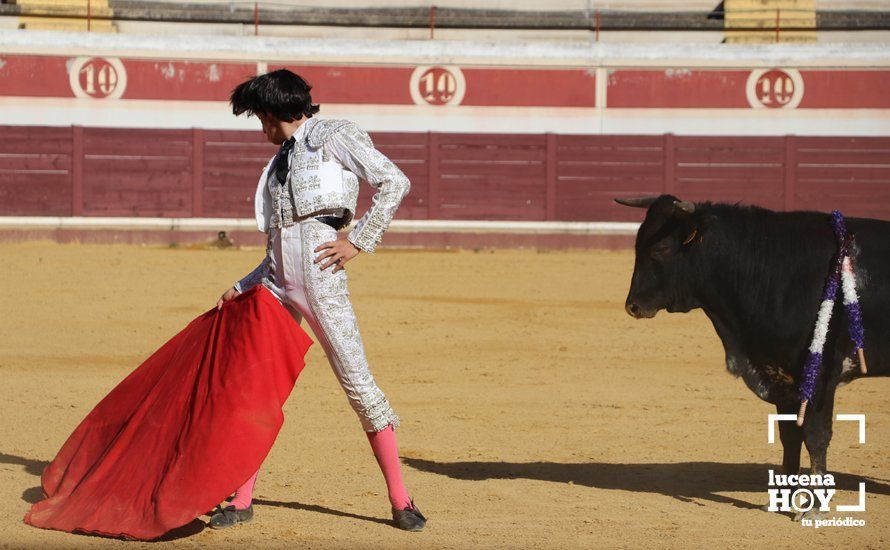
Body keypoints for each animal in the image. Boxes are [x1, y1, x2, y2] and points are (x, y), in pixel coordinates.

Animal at [616, 196, 888, 480]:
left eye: (660, 248)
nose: (632, 306)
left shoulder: (821, 375)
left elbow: (816, 437)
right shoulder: (782, 377)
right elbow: (789, 438)